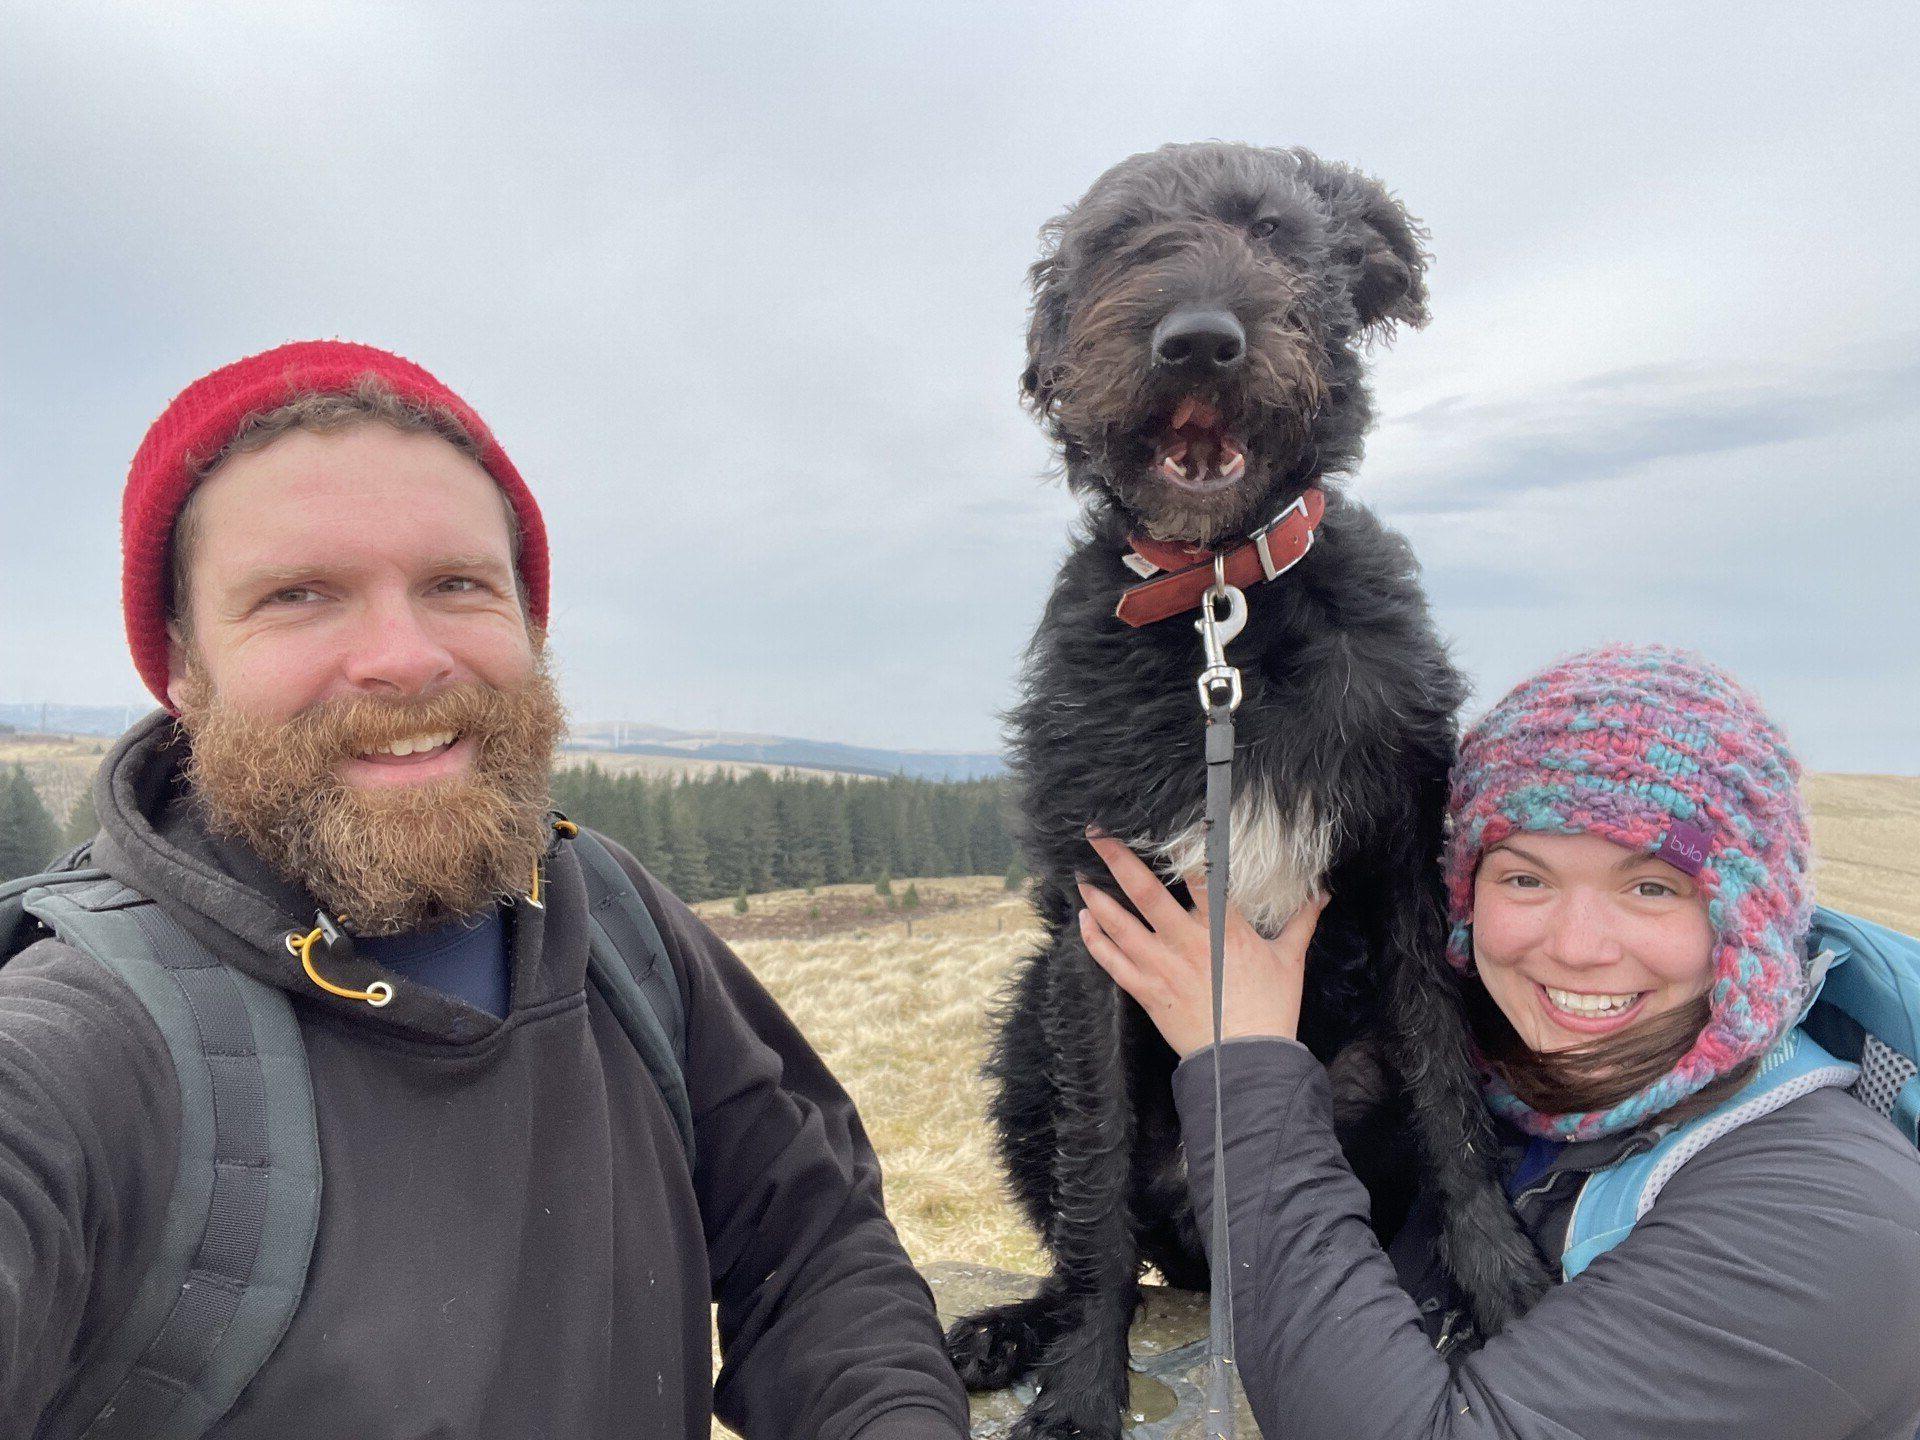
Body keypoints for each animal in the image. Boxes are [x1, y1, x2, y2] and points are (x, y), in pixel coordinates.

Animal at [952, 146, 1551, 1440]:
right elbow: (1094, 1188)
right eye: (1121, 240)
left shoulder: (1406, 874)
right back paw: (1013, 1325)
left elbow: (1452, 1100)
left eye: (1275, 233)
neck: (1222, 610)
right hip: (1026, 1022)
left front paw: (1499, 1284)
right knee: (1100, 1229)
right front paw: (1080, 1387)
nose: (1198, 341)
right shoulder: (1095, 921)